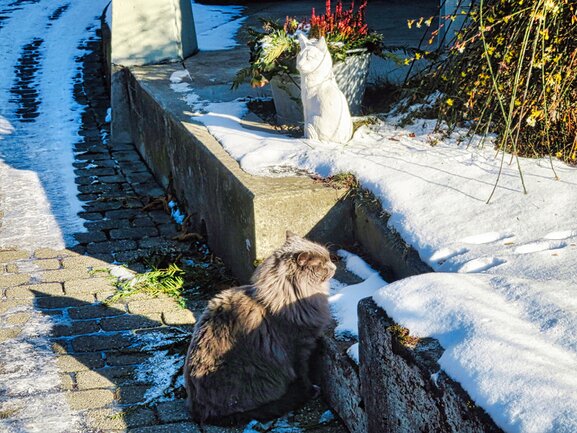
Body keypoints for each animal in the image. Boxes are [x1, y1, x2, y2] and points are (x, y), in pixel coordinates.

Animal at [183, 231, 336, 425]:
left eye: (328, 258)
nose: (334, 267)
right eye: (322, 264)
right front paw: (311, 390)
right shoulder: (298, 349)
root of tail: (198, 412)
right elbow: (303, 374)